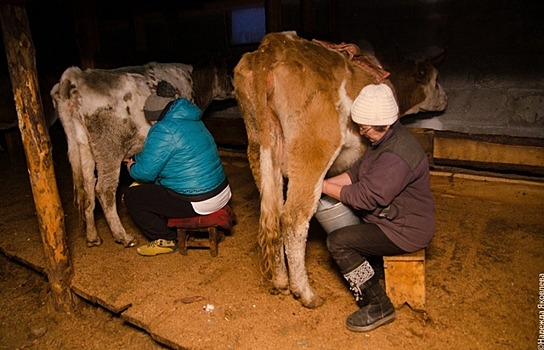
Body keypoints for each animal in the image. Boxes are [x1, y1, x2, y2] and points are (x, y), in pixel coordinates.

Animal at [51, 61, 236, 247]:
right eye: (230, 73)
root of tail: (77, 76)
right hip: (109, 149)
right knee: (105, 190)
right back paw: (123, 236)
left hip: (83, 146)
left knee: (88, 188)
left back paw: (92, 237)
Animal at [233, 31, 446, 308]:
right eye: (436, 78)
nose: (446, 99)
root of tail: (272, 46)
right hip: (314, 148)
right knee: (293, 218)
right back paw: (305, 293)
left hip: (259, 145)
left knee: (275, 212)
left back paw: (280, 281)